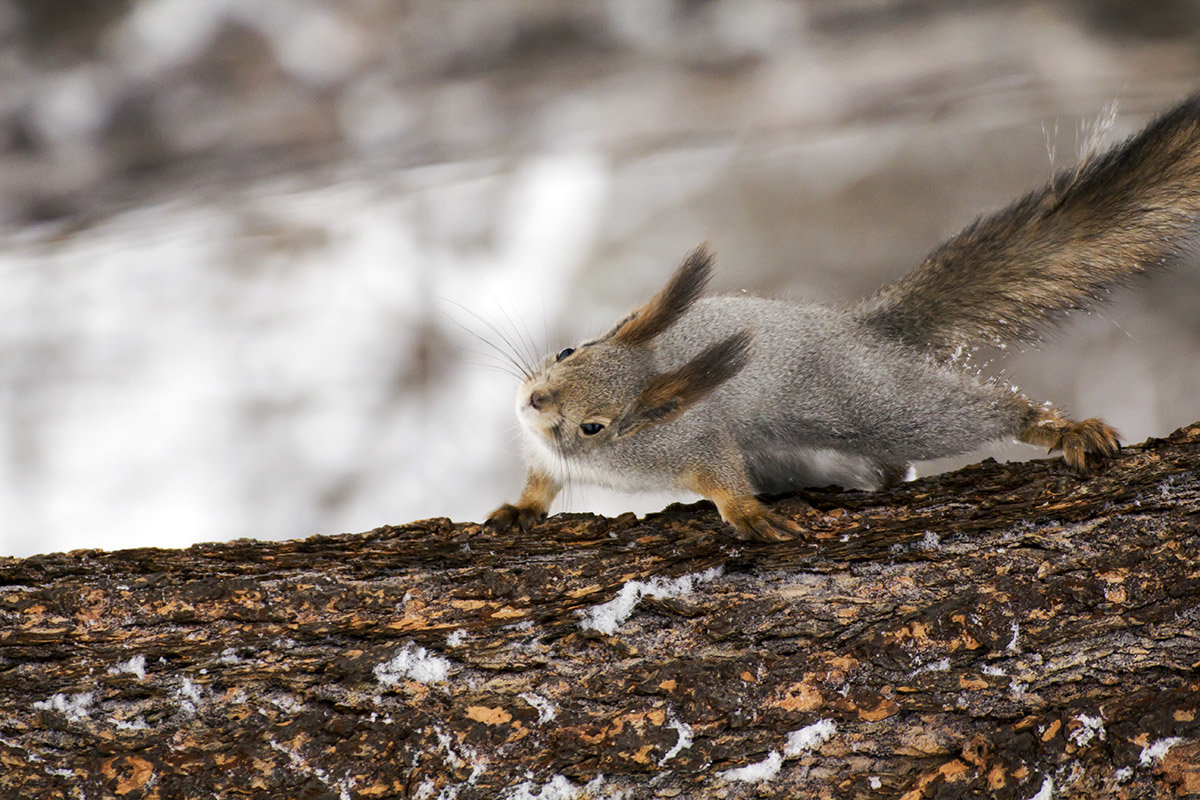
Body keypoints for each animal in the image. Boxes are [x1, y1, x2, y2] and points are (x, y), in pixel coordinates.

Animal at [484, 95, 1200, 544]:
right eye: (568, 351)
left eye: (595, 425)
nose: (531, 400)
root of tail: (863, 329)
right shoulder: (543, 454)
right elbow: (539, 484)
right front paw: (519, 509)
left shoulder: (692, 441)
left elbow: (722, 474)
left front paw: (747, 513)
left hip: (873, 404)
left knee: (973, 412)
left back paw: (1057, 426)